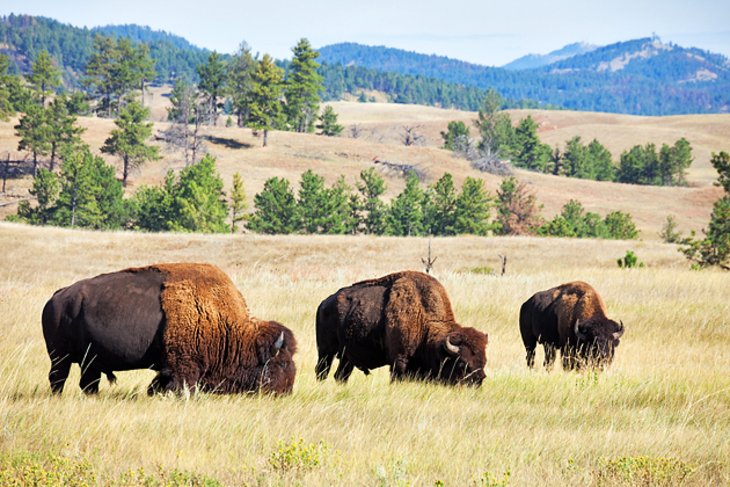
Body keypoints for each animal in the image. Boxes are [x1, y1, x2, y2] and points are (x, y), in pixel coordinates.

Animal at [41, 264, 298, 396]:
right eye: (282, 363)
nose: (286, 391)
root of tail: (56, 297)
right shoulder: (183, 367)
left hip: (90, 361)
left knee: (88, 383)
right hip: (60, 357)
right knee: (58, 378)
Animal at [312, 270, 484, 388]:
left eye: (483, 360)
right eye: (462, 363)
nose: (479, 380)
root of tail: (324, 303)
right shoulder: (399, 360)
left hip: (347, 357)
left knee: (340, 375)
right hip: (326, 351)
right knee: (322, 371)